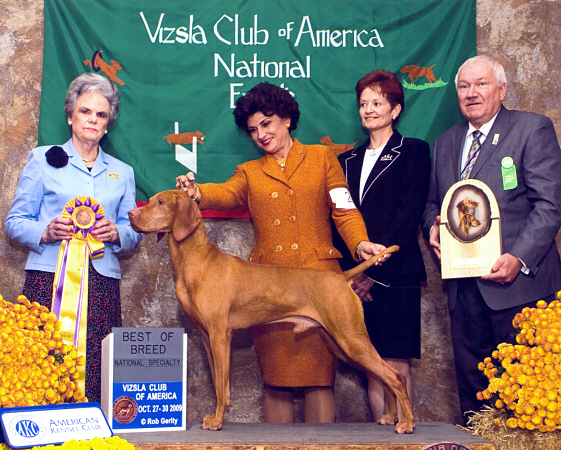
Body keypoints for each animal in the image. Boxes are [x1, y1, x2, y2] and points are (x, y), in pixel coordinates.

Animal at [129, 190, 414, 432]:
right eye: (150, 200)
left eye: (161, 202)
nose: (131, 214)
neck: (197, 261)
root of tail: (342, 277)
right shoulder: (206, 336)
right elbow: (217, 382)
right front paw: (215, 416)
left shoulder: (221, 335)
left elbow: (221, 384)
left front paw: (218, 421)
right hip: (341, 344)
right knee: (383, 377)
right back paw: (390, 417)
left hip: (351, 338)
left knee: (395, 376)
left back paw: (407, 423)